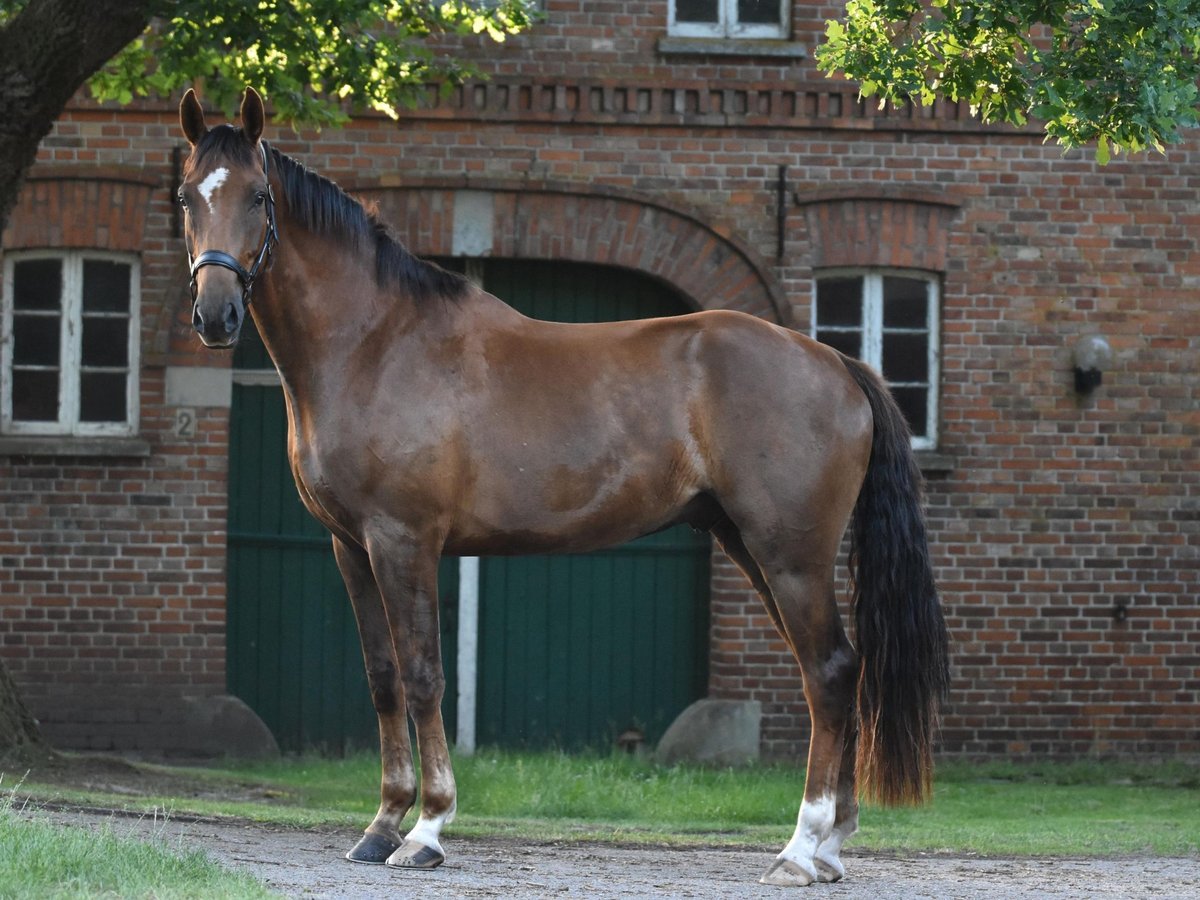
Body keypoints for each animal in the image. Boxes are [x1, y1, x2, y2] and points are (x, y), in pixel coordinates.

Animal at [176, 87, 950, 887]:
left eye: (259, 196)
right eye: (186, 196)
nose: (214, 316)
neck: (375, 344)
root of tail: (836, 363)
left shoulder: (403, 541)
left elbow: (424, 676)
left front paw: (427, 829)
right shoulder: (350, 548)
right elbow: (385, 678)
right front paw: (381, 825)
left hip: (790, 554)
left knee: (827, 672)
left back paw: (801, 848)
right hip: (749, 545)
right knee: (838, 671)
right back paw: (829, 846)